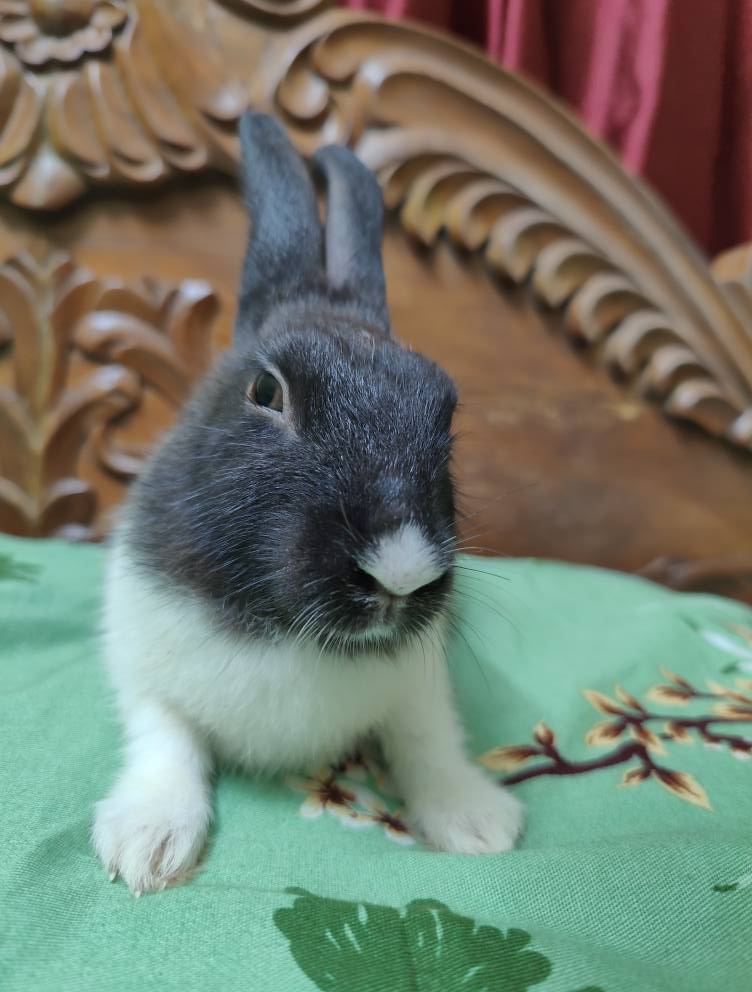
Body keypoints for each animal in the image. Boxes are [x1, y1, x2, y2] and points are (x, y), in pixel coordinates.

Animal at [92, 112, 523, 895]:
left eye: (445, 416)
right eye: (267, 392)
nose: (400, 573)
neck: (290, 631)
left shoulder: (420, 688)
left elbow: (428, 741)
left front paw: (475, 823)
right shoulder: (145, 666)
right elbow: (165, 741)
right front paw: (147, 846)